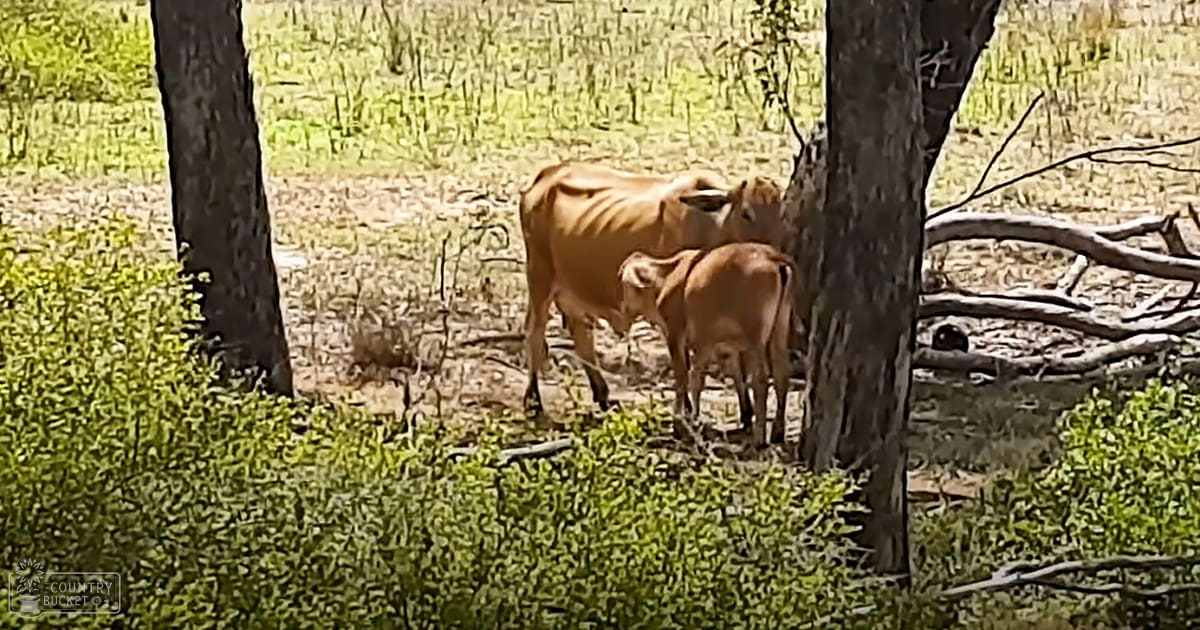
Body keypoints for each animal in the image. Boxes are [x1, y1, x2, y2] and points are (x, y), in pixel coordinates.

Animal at [518, 160, 783, 417]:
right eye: (747, 213)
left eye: (780, 214)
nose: (772, 249)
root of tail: (547, 175)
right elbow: (685, 363)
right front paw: (687, 409)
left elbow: (732, 358)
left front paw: (746, 411)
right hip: (539, 274)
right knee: (535, 331)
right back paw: (533, 399)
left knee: (581, 334)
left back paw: (602, 395)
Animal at [616, 242, 796, 446]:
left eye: (622, 283)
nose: (623, 308)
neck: (666, 278)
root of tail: (772, 257)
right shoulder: (720, 345)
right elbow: (731, 375)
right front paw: (744, 415)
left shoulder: (676, 334)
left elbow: (683, 377)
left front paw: (679, 422)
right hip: (780, 327)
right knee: (782, 373)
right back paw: (777, 432)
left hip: (755, 335)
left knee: (760, 379)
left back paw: (759, 438)